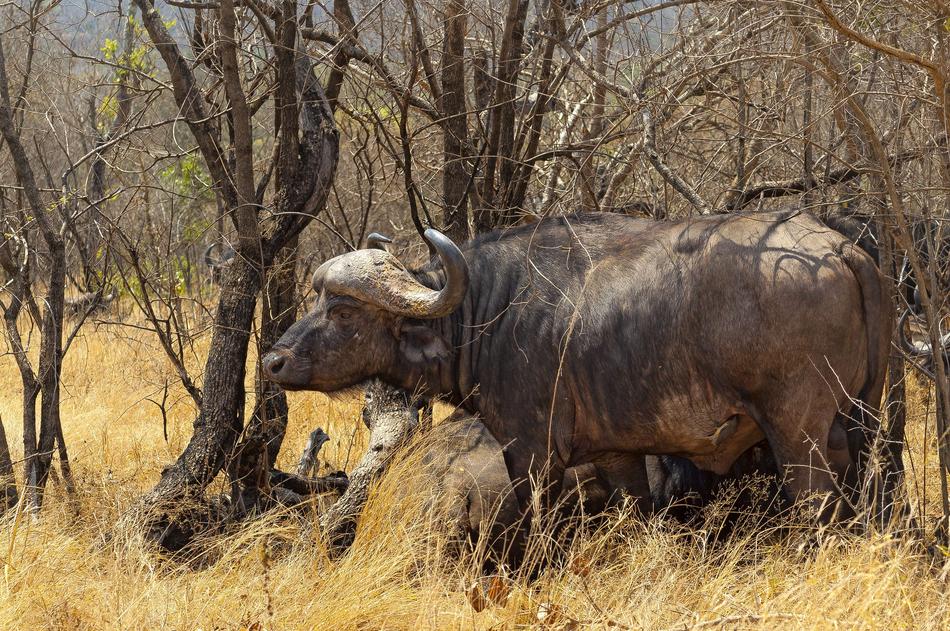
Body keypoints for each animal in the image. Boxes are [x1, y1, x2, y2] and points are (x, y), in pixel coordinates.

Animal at [264, 210, 891, 523]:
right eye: (316, 299)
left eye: (343, 310)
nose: (273, 359)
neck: (490, 310)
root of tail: (840, 249)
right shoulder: (617, 455)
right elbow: (635, 516)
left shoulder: (532, 451)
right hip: (866, 425)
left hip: (797, 436)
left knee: (816, 507)